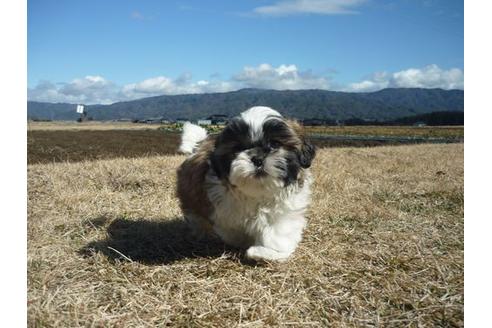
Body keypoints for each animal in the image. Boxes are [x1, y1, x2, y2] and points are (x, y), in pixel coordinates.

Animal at [176, 107, 316, 262]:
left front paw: (267, 252)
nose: (258, 159)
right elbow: (232, 229)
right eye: (238, 148)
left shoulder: (285, 207)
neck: (258, 190)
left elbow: (278, 230)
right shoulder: (221, 207)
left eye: (275, 144)